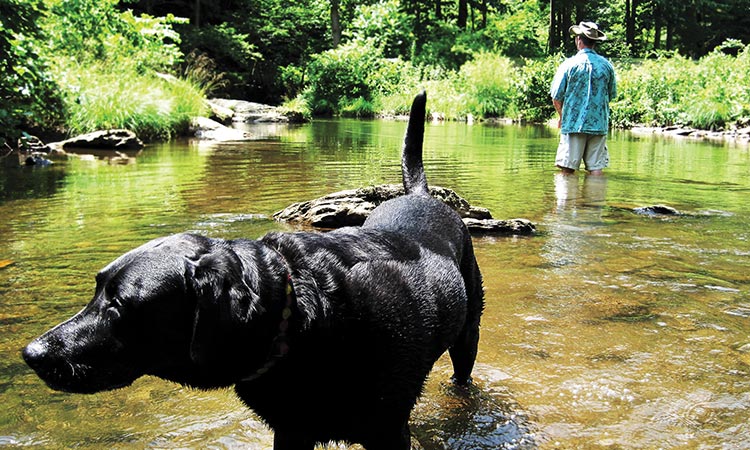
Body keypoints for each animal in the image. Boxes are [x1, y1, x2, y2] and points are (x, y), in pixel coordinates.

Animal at [23, 92, 484, 450]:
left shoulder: (387, 432)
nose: (31, 353)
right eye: (96, 289)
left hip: (468, 337)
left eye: (119, 305)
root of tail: (422, 194)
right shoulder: (292, 431)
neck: (302, 318)